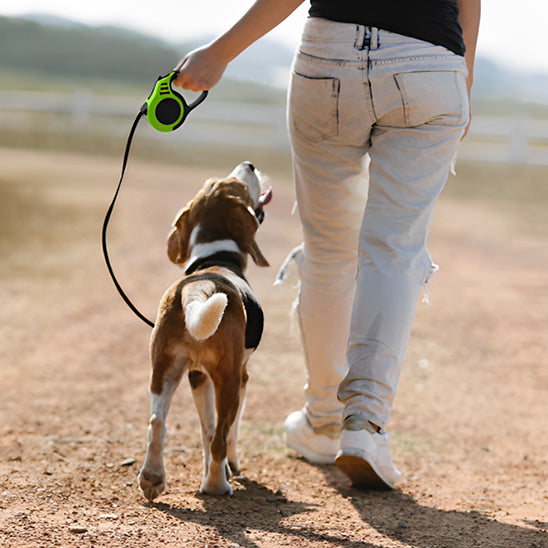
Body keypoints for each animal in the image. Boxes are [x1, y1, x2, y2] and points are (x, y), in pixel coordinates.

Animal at [138, 161, 270, 498]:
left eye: (213, 183)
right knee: (222, 436)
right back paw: (216, 485)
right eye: (239, 185)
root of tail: (199, 287)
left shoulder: (197, 376)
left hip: (164, 370)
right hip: (228, 379)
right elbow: (227, 433)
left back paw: (152, 478)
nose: (249, 164)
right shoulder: (241, 376)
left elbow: (206, 430)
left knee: (157, 423)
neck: (215, 258)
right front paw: (230, 468)